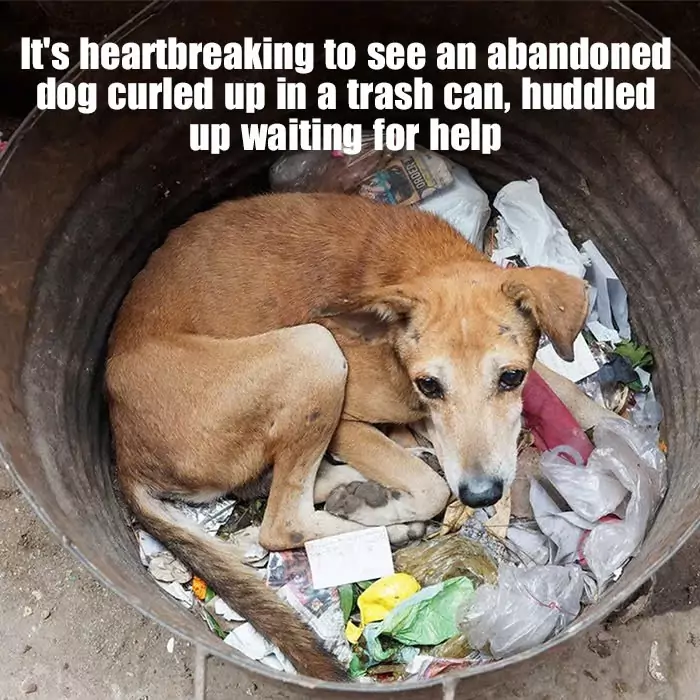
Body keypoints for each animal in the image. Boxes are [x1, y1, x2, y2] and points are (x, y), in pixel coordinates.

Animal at [106, 191, 588, 680]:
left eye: (512, 377)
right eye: (428, 385)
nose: (482, 495)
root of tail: (124, 450)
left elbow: (570, 393)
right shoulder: (348, 424)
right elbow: (432, 488)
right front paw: (395, 504)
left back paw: (361, 491)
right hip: (314, 349)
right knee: (280, 523)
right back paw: (384, 523)